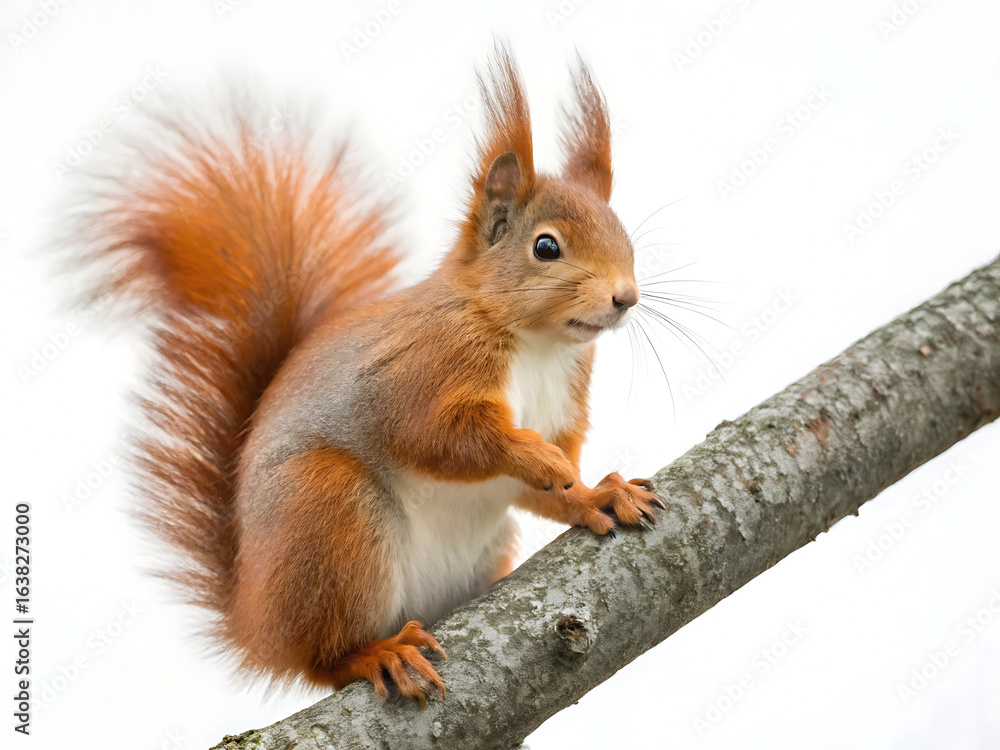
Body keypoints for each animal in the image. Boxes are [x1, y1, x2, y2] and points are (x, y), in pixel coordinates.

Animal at [78, 44, 661, 706]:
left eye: (625, 236)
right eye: (545, 247)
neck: (538, 344)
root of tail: (256, 623)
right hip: (330, 510)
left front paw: (596, 494)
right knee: (323, 660)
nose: (625, 297)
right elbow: (439, 436)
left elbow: (549, 489)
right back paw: (377, 653)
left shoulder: (563, 400)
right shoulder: (418, 373)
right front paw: (533, 456)